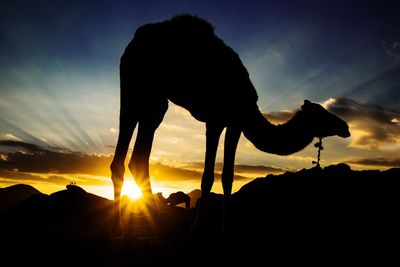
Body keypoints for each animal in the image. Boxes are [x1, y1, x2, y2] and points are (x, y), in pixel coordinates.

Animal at [110, 14, 350, 232]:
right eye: (322, 114)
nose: (346, 127)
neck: (247, 108)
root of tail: (135, 39)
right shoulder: (215, 120)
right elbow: (207, 177)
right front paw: (196, 228)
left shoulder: (235, 125)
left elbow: (228, 176)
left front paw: (225, 228)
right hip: (137, 85)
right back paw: (128, 224)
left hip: (154, 100)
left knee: (138, 155)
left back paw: (143, 221)